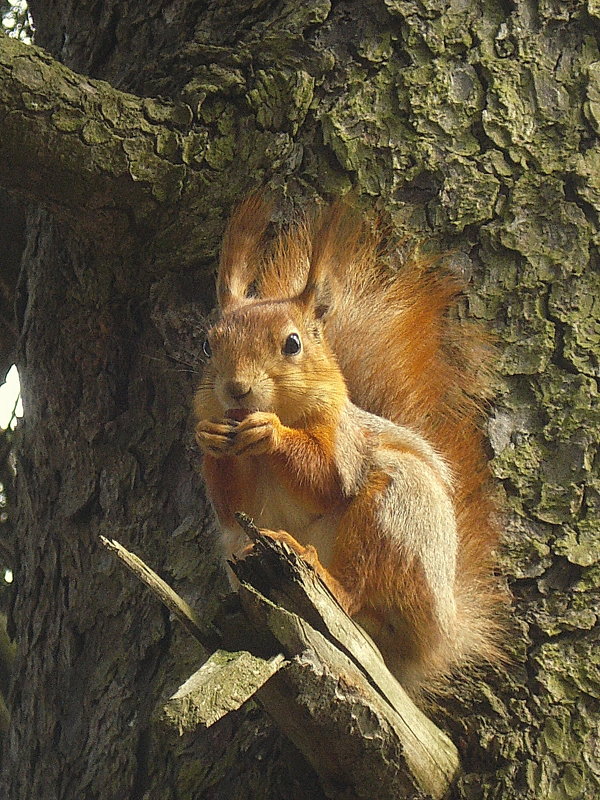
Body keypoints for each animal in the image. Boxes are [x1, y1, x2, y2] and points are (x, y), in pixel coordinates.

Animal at [193, 195, 502, 692]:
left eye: (292, 343)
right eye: (207, 345)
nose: (236, 389)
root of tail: (436, 639)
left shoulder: (345, 445)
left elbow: (323, 481)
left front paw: (271, 433)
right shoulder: (238, 506)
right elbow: (231, 503)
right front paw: (210, 438)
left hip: (395, 519)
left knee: (359, 593)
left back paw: (321, 570)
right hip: (240, 546)